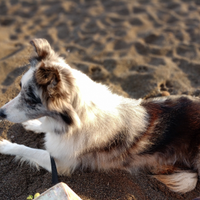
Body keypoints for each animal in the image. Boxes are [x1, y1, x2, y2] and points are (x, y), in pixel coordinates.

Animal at [0, 38, 200, 193]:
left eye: (30, 99)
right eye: (19, 87)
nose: (1, 112)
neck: (72, 122)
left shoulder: (61, 163)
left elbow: (28, 150)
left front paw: (5, 145)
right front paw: (34, 124)